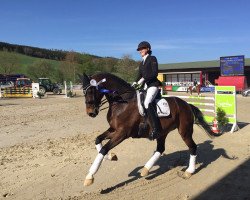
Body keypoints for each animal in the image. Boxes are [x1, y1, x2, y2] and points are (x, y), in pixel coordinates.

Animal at [79, 72, 215, 186]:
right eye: (84, 92)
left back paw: (189, 171)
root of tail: (186, 104)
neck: (122, 102)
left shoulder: (122, 133)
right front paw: (111, 156)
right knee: (160, 149)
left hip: (184, 131)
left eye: (92, 90)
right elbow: (98, 140)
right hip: (162, 132)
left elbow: (104, 149)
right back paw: (145, 169)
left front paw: (89, 177)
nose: (91, 113)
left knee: (192, 147)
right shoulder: (113, 129)